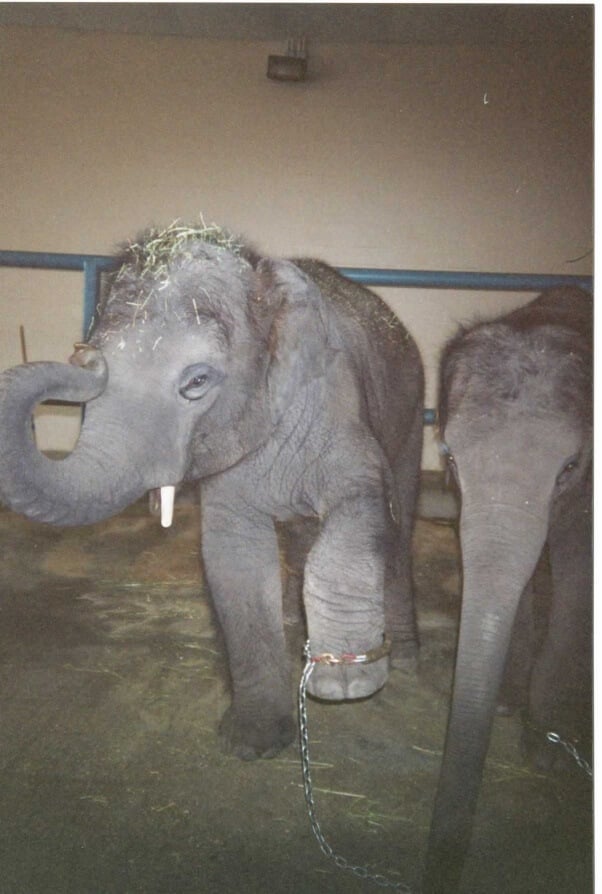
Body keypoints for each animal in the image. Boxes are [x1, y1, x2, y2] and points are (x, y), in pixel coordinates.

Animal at [424, 288, 592, 894]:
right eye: (448, 457)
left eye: (570, 465)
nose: (440, 868)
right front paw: (502, 704)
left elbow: (578, 576)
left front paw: (549, 750)